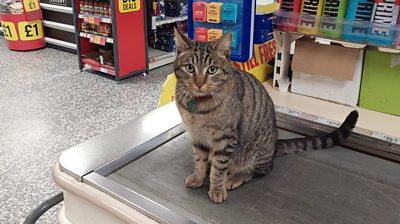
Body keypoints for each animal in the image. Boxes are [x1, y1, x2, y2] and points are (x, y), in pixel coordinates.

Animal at [173, 28, 358, 203]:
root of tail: (275, 145)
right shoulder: (197, 137)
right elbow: (199, 160)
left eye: (212, 70)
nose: (199, 83)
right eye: (190, 68)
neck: (198, 108)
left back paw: (235, 177)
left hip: (255, 154)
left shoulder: (225, 139)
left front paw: (217, 188)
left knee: (260, 170)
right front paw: (198, 177)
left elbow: (219, 169)